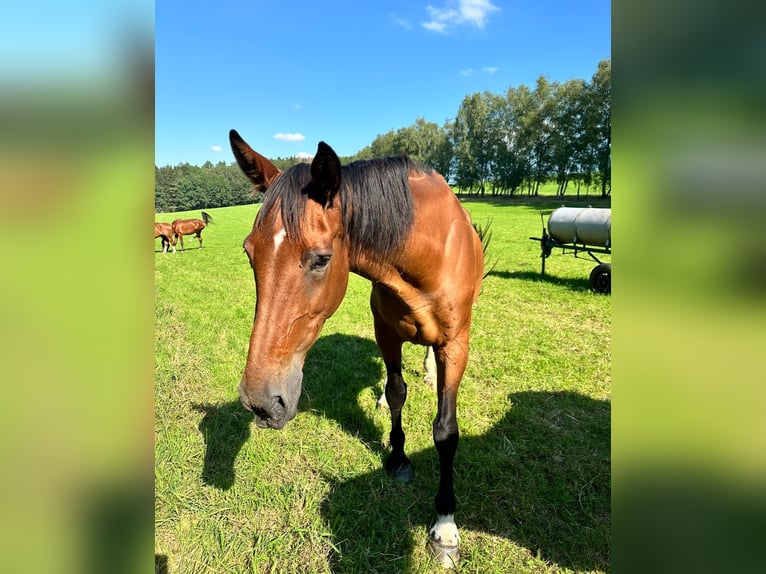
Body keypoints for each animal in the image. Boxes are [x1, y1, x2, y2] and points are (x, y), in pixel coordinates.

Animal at [231, 128, 488, 568]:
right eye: (250, 253)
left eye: (321, 259)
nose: (261, 403)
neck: (425, 252)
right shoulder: (386, 333)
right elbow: (397, 392)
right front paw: (398, 459)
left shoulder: (456, 346)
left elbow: (446, 430)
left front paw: (445, 525)